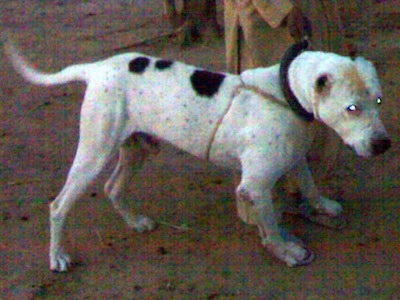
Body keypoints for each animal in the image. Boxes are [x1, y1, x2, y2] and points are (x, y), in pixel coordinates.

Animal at [3, 38, 390, 272]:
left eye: (378, 100)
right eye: (352, 108)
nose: (383, 145)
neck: (285, 92)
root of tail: (97, 68)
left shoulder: (294, 156)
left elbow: (309, 184)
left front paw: (322, 205)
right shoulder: (254, 187)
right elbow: (270, 226)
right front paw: (286, 250)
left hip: (136, 149)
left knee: (113, 188)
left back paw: (136, 221)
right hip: (94, 153)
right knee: (58, 205)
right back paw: (57, 256)